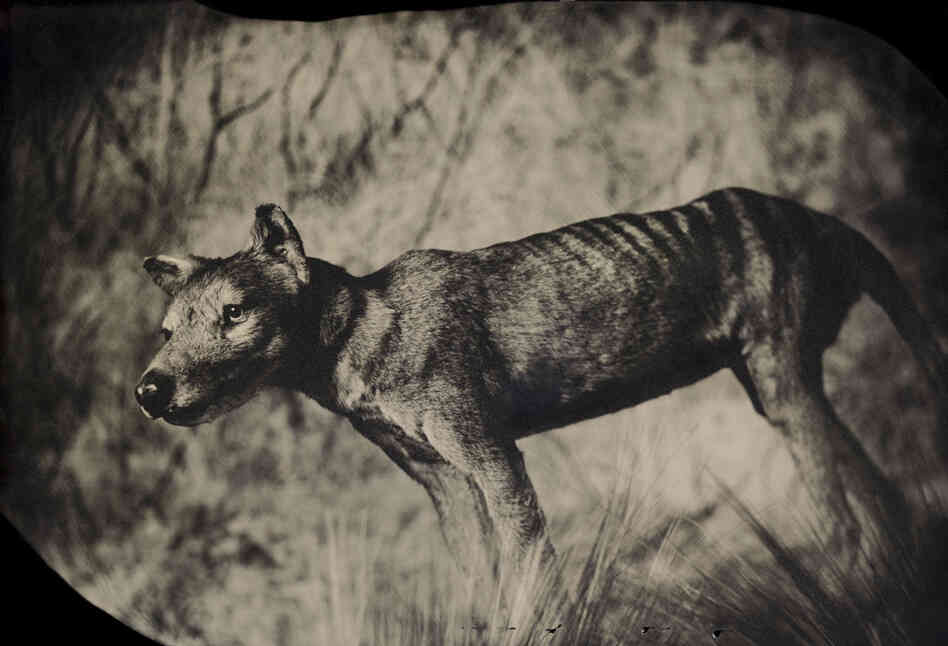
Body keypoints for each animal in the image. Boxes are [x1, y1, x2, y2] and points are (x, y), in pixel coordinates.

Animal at [136, 187, 946, 581]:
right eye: (168, 330)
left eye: (235, 312)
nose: (148, 391)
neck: (362, 337)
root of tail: (815, 217)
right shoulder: (446, 489)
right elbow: (477, 598)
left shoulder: (494, 460)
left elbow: (531, 595)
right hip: (777, 391)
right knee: (884, 495)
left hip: (782, 387)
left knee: (847, 518)